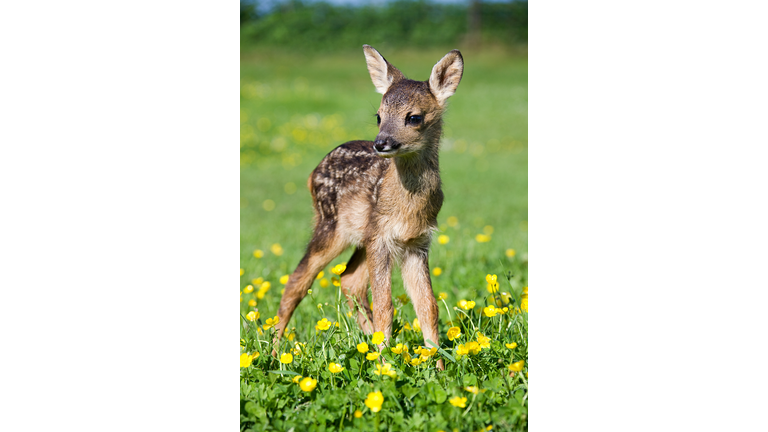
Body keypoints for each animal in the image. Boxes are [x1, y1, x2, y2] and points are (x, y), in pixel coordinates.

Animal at [272, 44, 462, 370]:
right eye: (378, 115)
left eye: (414, 117)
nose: (381, 143)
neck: (407, 208)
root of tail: (313, 172)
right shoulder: (382, 239)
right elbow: (386, 304)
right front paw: (385, 367)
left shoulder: (416, 242)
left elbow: (428, 306)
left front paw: (436, 367)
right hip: (332, 226)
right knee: (297, 280)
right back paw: (272, 354)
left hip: (363, 235)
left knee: (348, 279)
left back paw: (370, 344)